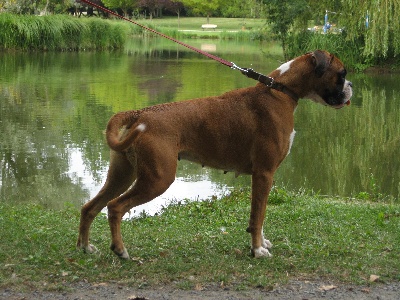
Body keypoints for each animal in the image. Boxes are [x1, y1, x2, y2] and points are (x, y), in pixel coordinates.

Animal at [76, 50, 352, 258]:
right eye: (342, 74)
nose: (351, 86)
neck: (280, 90)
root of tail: (139, 113)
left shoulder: (263, 176)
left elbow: (260, 214)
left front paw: (261, 243)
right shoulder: (264, 174)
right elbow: (258, 215)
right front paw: (257, 250)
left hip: (122, 175)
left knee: (90, 207)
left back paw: (85, 247)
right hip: (157, 179)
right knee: (115, 207)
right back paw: (120, 250)